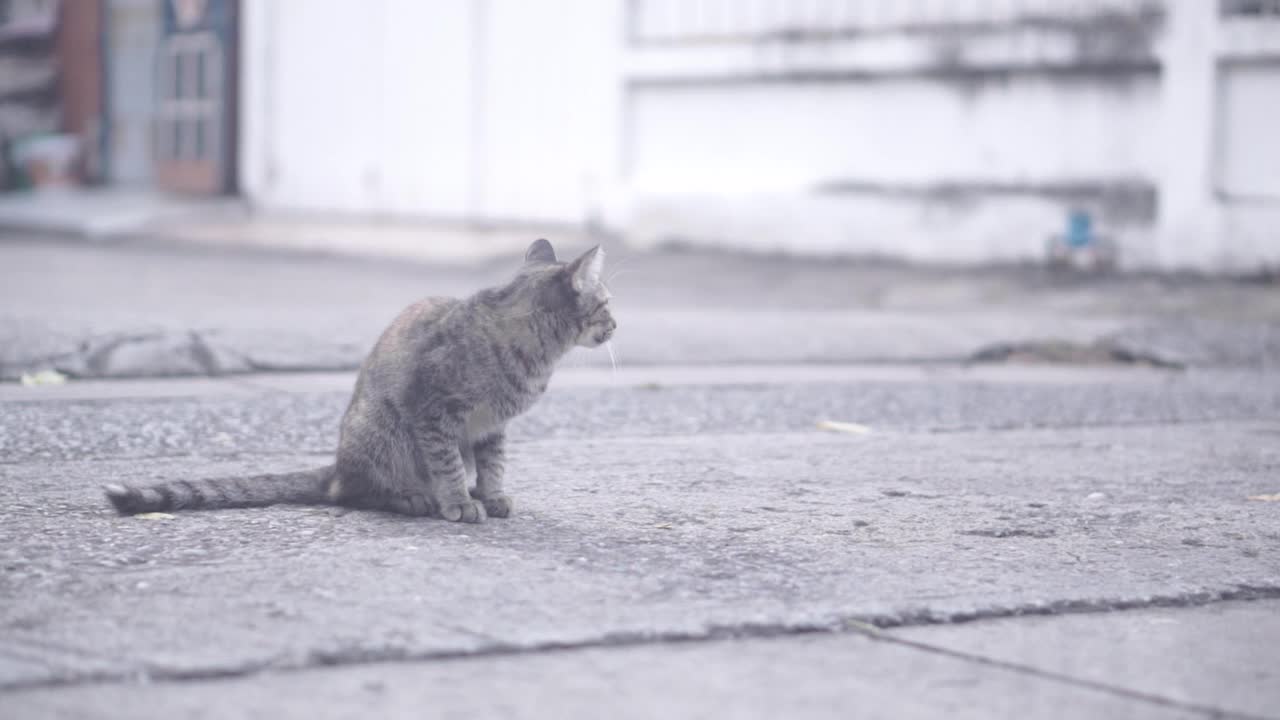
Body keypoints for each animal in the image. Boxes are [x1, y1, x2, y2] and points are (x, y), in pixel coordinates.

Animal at [104, 238, 614, 525]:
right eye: (607, 302)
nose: (616, 324)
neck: (535, 355)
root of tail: (337, 465)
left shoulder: (491, 427)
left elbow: (492, 465)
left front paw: (488, 494)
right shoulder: (432, 409)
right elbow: (448, 463)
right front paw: (458, 501)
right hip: (383, 430)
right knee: (354, 493)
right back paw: (413, 498)